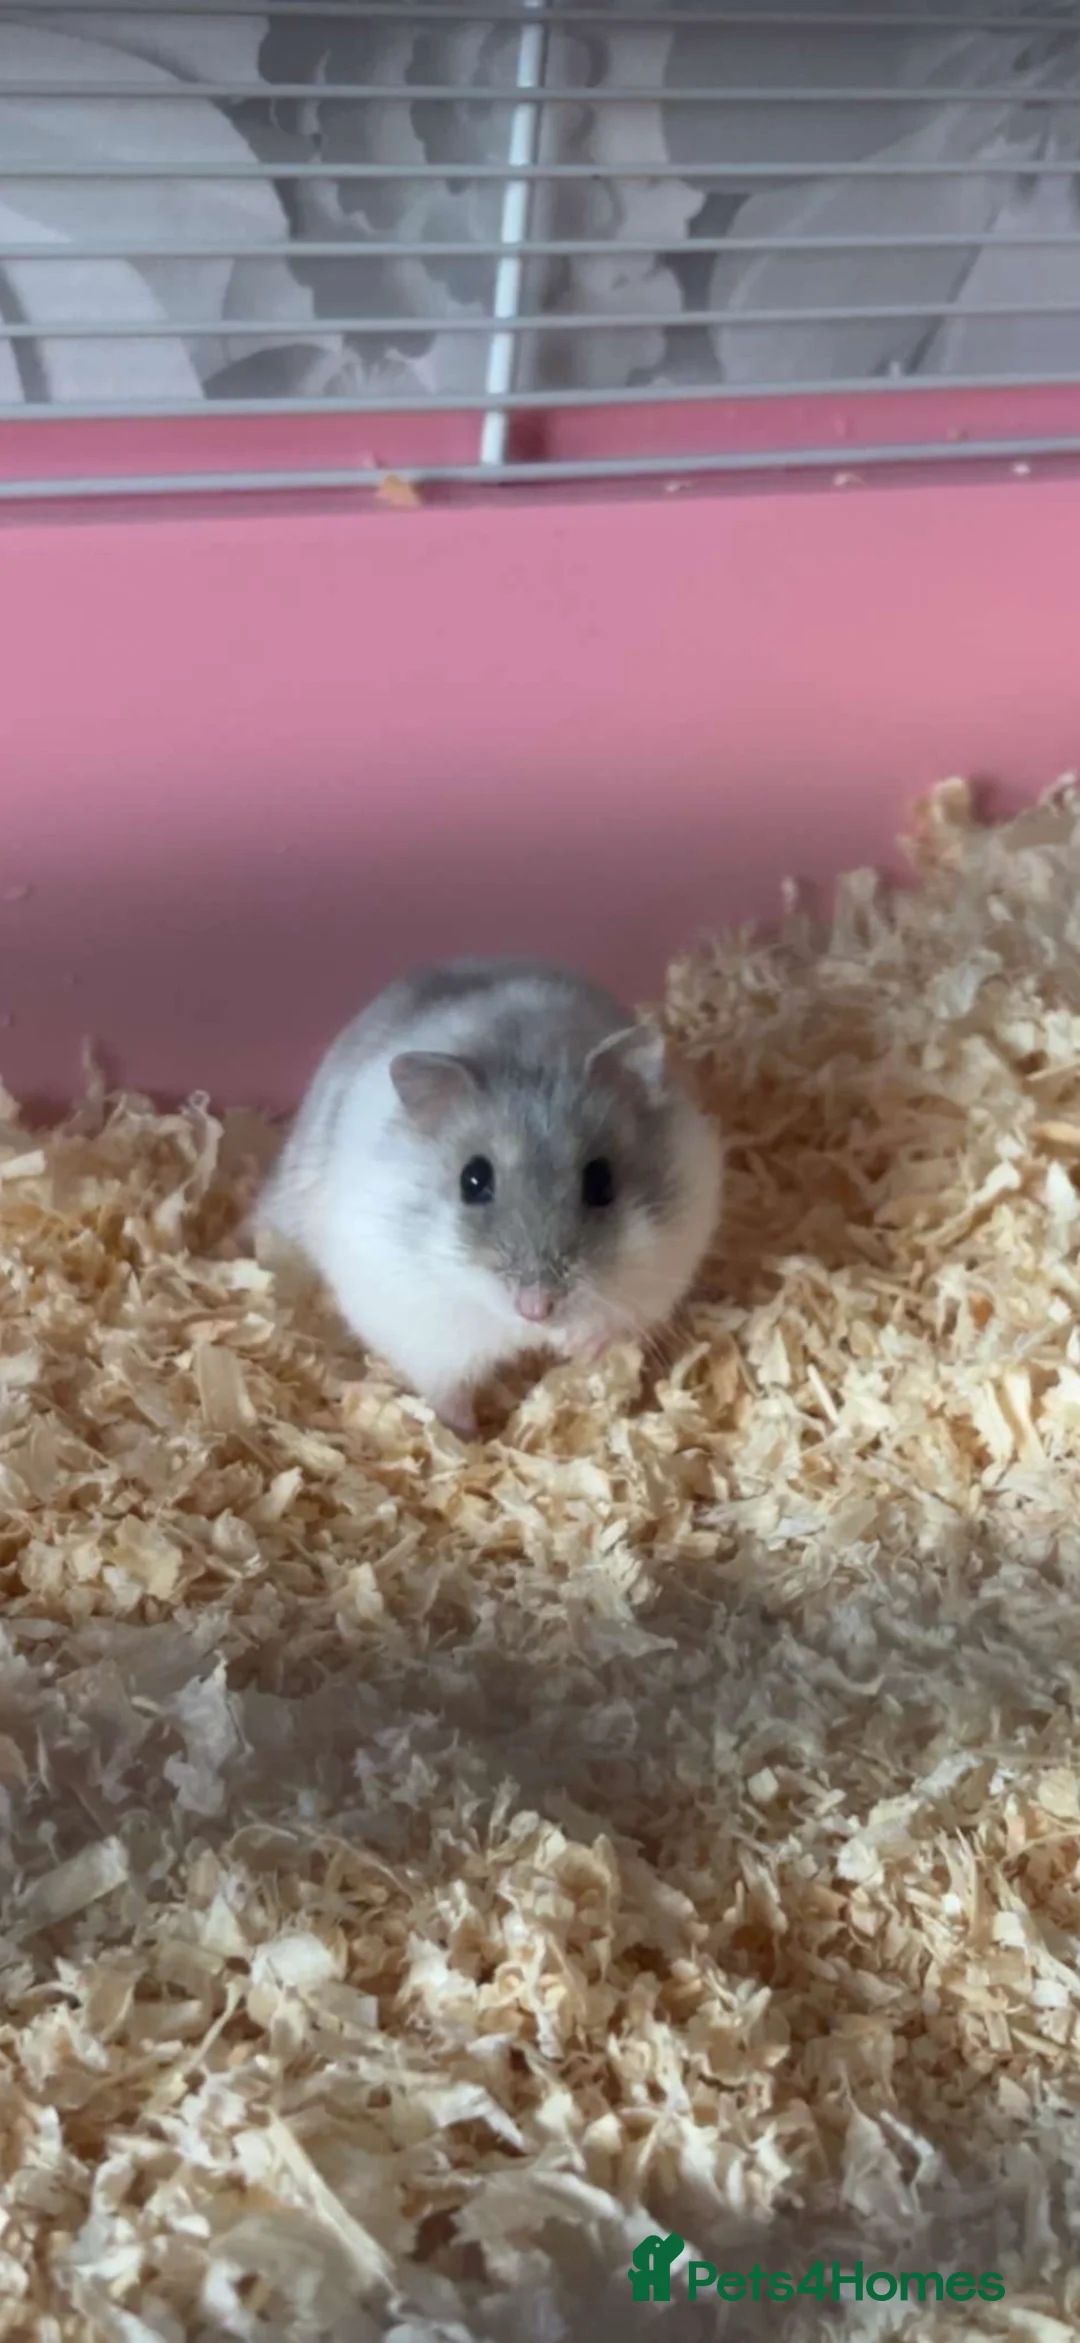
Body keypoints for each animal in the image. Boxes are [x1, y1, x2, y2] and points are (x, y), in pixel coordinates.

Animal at [255, 957, 722, 1439]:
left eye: (601, 1182)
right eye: (473, 1180)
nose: (536, 1309)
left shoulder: (661, 1271)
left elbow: (609, 1324)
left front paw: (582, 1349)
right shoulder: (419, 1328)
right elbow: (447, 1390)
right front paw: (467, 1437)